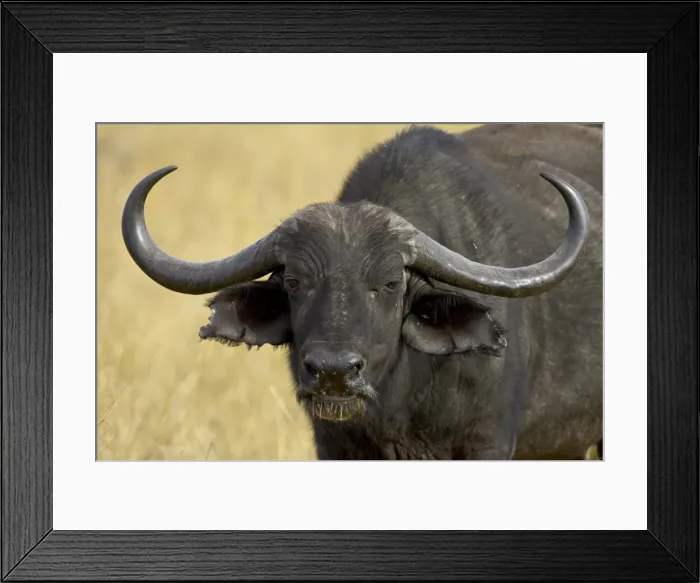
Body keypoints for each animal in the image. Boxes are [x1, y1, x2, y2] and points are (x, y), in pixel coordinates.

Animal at [122, 123, 603, 460]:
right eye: (294, 282)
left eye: (390, 284)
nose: (334, 373)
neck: (402, 405)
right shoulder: (332, 443)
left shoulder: (488, 440)